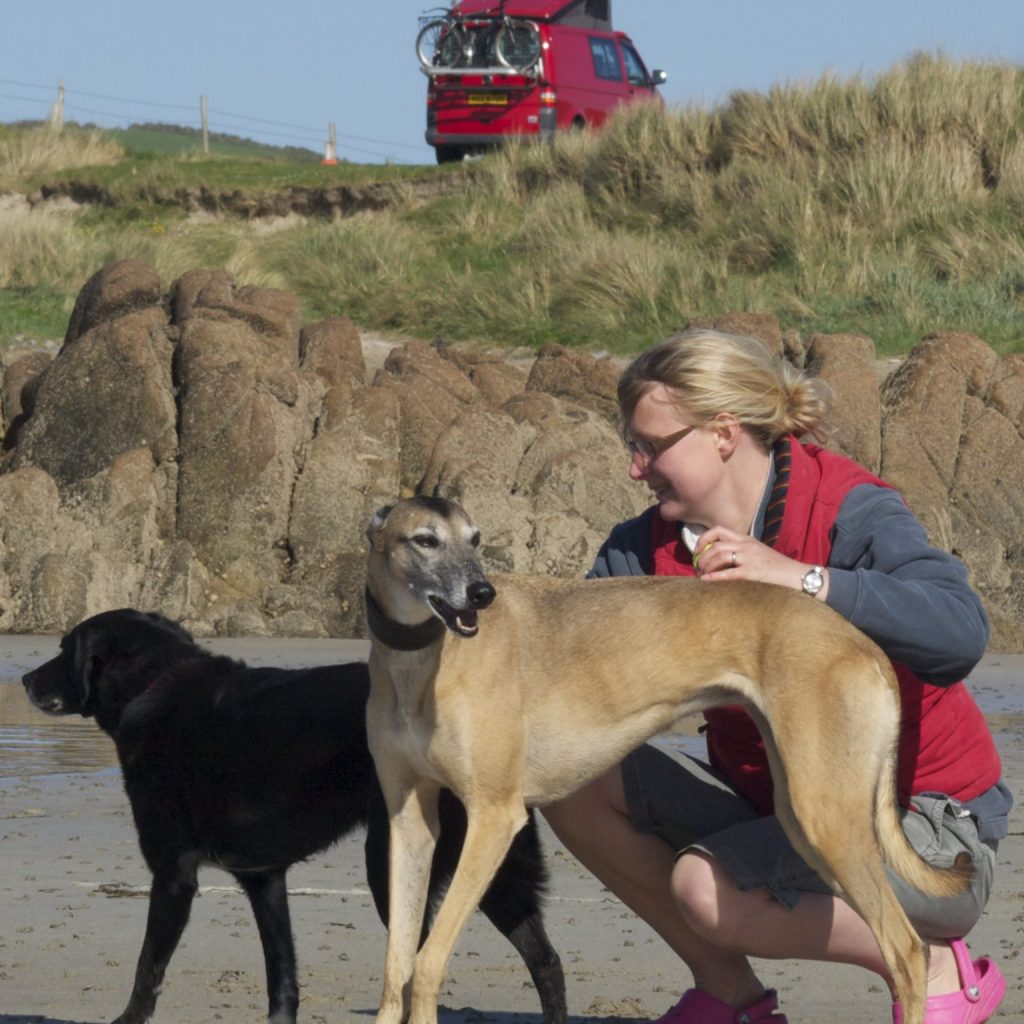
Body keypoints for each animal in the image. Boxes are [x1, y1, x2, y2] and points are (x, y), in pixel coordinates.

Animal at [22, 606, 569, 1024]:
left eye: (64, 648)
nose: (24, 678)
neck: (155, 687)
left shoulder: (173, 875)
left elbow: (148, 967)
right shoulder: (264, 878)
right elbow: (281, 976)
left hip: (396, 864)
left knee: (418, 968)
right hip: (493, 868)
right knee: (546, 961)